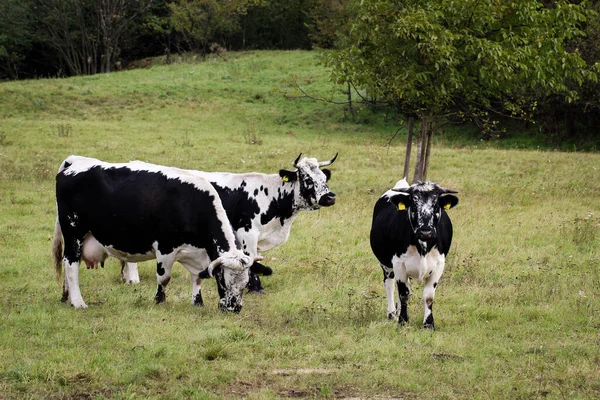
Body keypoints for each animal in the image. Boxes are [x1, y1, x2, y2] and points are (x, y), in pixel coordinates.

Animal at [52, 156, 256, 312]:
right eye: (223, 281)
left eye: (245, 284)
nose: (234, 308)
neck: (190, 203)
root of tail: (75, 162)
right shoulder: (165, 248)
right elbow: (164, 278)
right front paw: (159, 300)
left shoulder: (197, 255)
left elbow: (198, 278)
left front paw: (197, 303)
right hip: (74, 232)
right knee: (71, 264)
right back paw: (78, 303)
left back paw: (68, 298)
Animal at [120, 153, 338, 294]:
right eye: (307, 179)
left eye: (324, 178)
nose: (330, 197)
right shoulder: (247, 232)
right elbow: (251, 259)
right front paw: (256, 288)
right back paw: (133, 279)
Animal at [368, 178, 458, 328]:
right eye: (414, 205)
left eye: (436, 205)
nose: (426, 232)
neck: (423, 248)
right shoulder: (398, 263)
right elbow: (403, 293)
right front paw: (403, 321)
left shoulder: (439, 264)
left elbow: (428, 296)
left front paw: (428, 324)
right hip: (386, 265)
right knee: (390, 285)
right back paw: (392, 314)